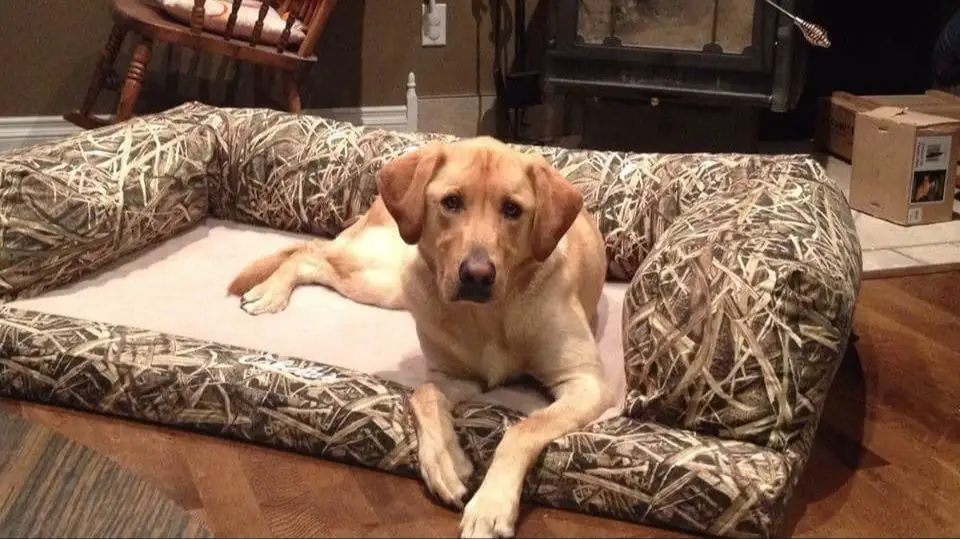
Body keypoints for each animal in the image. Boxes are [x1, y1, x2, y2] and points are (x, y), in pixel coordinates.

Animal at [229, 137, 612, 536]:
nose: (477, 275)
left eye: (512, 209)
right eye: (451, 202)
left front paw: (490, 505)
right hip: (384, 275)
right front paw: (444, 460)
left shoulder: (586, 382)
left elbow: (523, 428)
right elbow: (423, 395)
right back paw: (268, 292)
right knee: (310, 253)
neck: (489, 315)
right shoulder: (453, 376)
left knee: (313, 257)